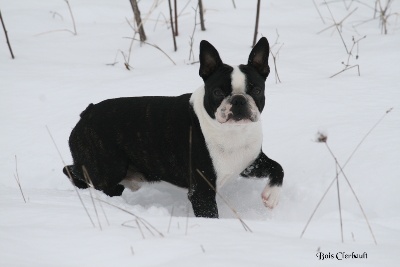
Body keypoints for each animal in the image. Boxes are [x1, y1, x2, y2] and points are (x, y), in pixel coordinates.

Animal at [63, 37, 282, 218]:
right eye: (218, 92)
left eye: (256, 90)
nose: (238, 100)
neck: (233, 133)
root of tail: (87, 113)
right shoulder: (202, 191)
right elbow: (210, 215)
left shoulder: (250, 163)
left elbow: (278, 167)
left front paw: (271, 195)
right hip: (107, 171)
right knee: (76, 172)